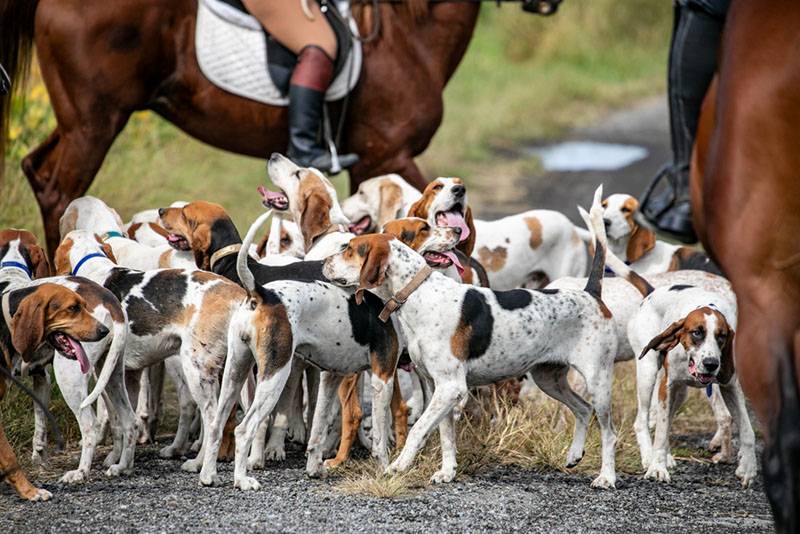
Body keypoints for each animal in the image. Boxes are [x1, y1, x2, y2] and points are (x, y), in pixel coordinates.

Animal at [1, 0, 488, 255]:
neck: (407, 32)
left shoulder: (376, 160)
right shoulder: (387, 153)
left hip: (82, 121)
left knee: (37, 172)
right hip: (94, 123)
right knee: (59, 190)